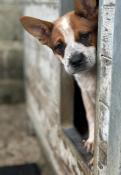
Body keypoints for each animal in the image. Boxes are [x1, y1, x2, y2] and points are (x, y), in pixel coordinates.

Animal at [20, 0, 98, 156]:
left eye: (84, 35)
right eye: (59, 46)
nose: (75, 60)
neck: (90, 74)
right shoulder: (85, 94)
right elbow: (91, 117)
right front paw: (92, 140)